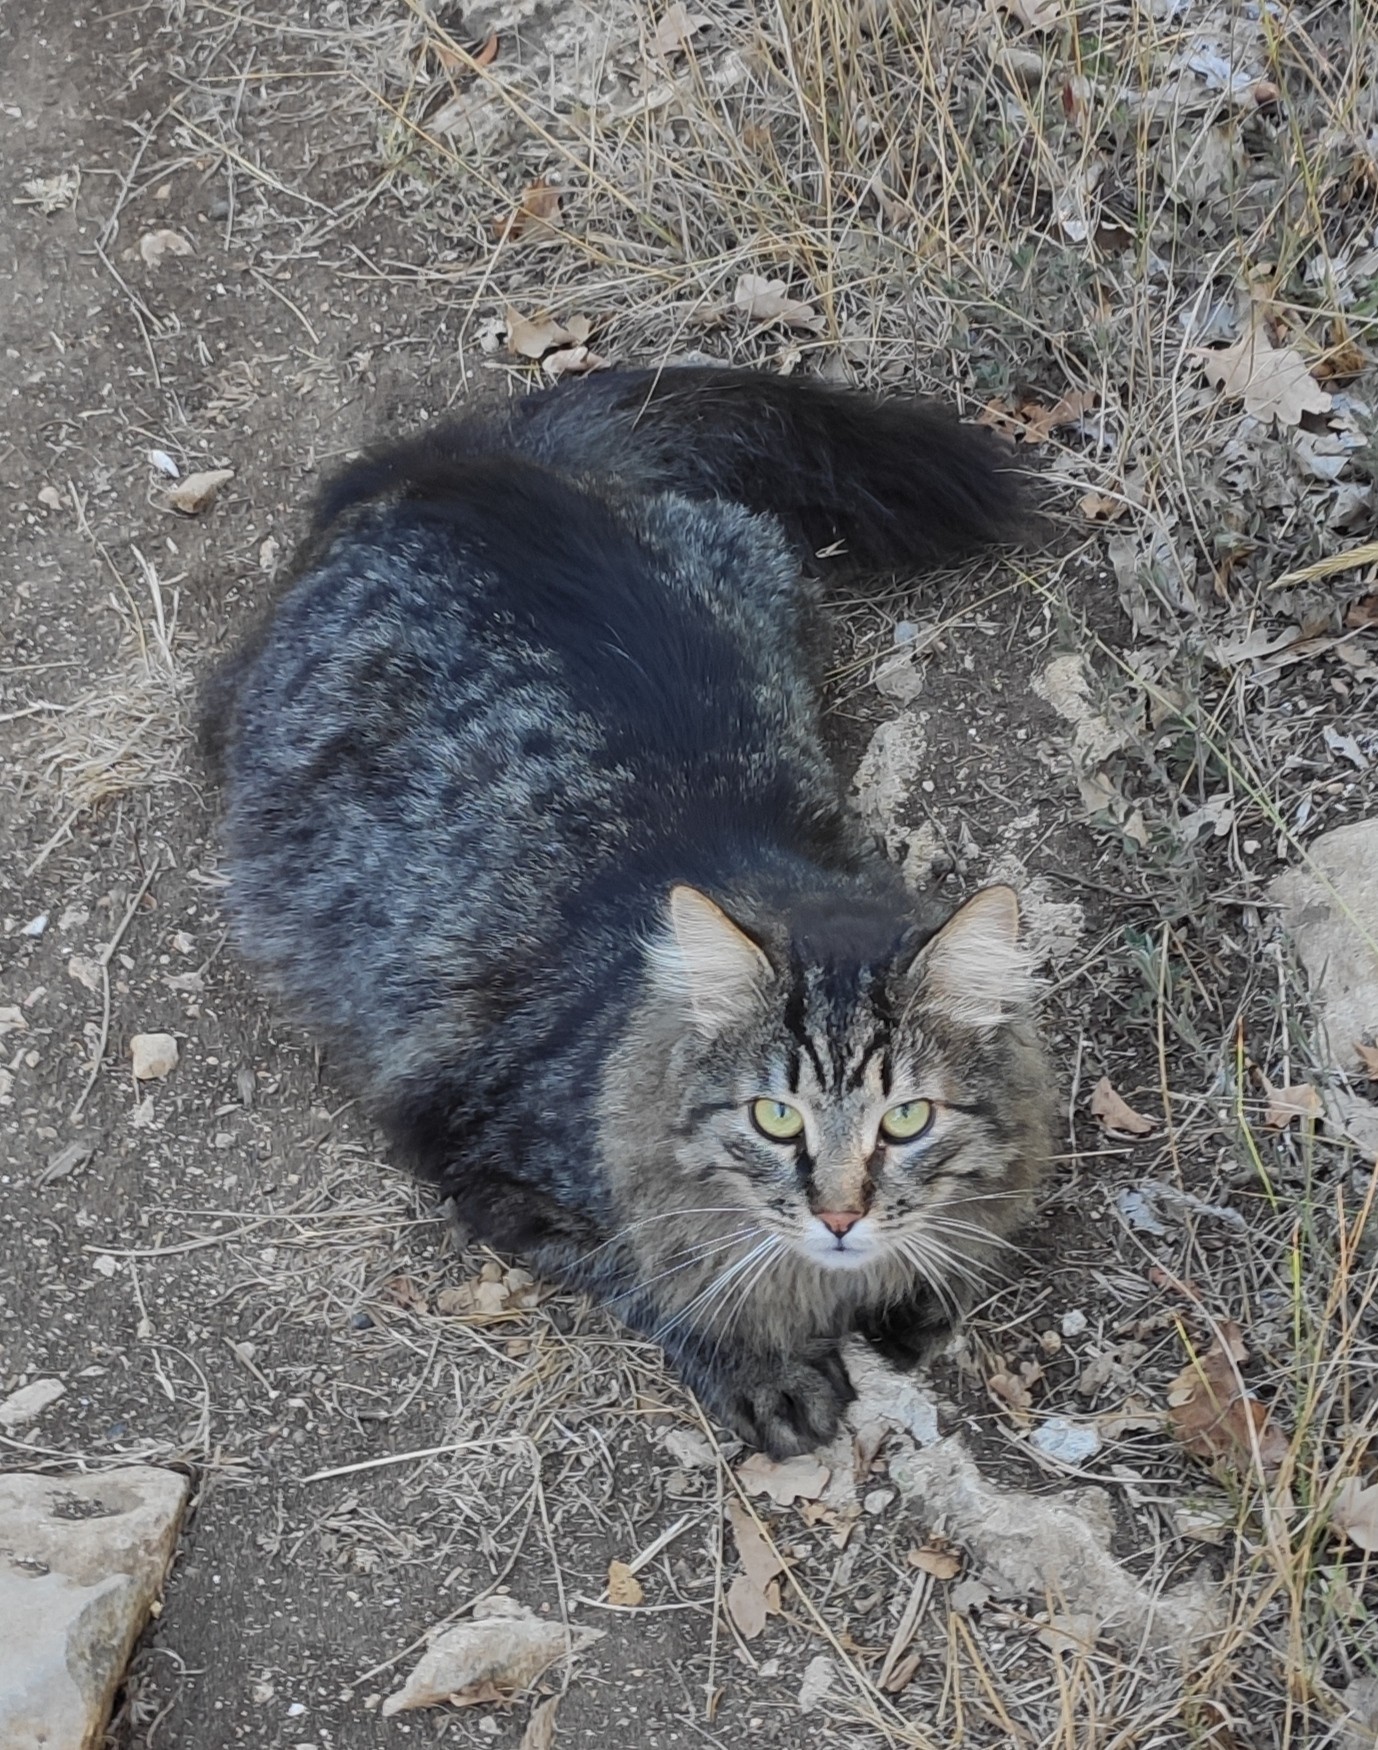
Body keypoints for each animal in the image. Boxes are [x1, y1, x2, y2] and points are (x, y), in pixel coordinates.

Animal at [199, 372, 1050, 1463]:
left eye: (906, 1120)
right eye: (774, 1119)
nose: (839, 1215)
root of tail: (455, 468)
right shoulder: (483, 1163)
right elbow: (651, 1271)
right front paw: (759, 1361)